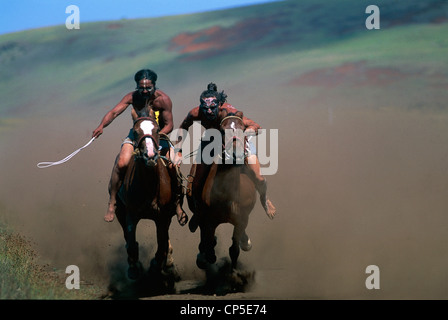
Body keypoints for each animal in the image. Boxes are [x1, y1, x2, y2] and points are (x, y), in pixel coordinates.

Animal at [115, 115, 177, 280]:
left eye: (156, 129)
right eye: (136, 131)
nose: (150, 155)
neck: (149, 186)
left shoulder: (162, 217)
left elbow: (162, 244)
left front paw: (156, 265)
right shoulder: (131, 214)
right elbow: (131, 242)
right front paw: (134, 269)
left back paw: (169, 264)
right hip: (119, 212)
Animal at [189, 110, 258, 270]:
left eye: (243, 128)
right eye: (221, 130)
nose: (235, 154)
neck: (228, 195)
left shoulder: (241, 219)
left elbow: (234, 249)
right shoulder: (209, 221)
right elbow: (209, 245)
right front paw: (206, 255)